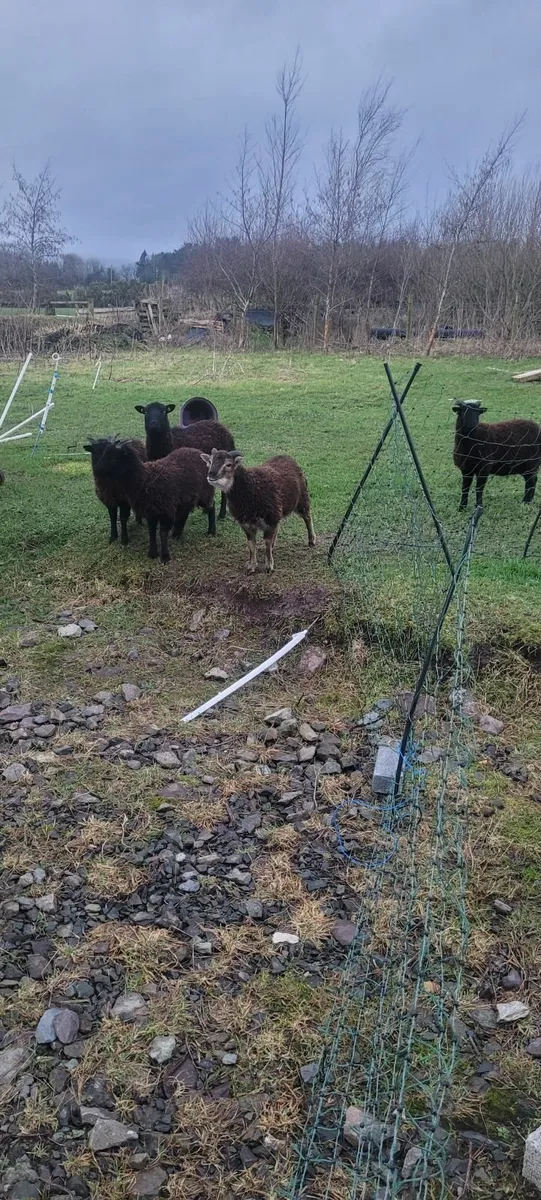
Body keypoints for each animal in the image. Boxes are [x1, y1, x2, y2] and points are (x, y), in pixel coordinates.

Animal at [87, 436, 215, 563]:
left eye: (113, 458)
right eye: (103, 453)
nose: (96, 470)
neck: (145, 480)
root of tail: (197, 451)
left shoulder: (165, 511)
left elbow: (162, 533)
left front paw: (165, 557)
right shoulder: (150, 511)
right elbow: (152, 532)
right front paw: (152, 553)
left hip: (204, 492)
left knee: (211, 506)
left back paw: (211, 531)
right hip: (187, 497)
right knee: (186, 511)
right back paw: (177, 534)